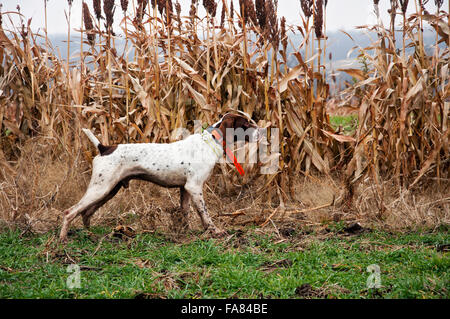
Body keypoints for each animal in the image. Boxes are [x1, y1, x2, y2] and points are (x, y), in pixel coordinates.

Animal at [58, 114, 258, 242]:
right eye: (247, 123)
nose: (262, 131)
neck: (210, 141)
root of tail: (104, 147)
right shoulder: (194, 187)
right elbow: (204, 213)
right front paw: (214, 231)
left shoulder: (185, 189)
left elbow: (184, 213)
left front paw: (184, 233)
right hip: (101, 188)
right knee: (70, 212)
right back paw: (63, 239)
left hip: (109, 189)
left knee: (86, 213)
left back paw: (91, 235)